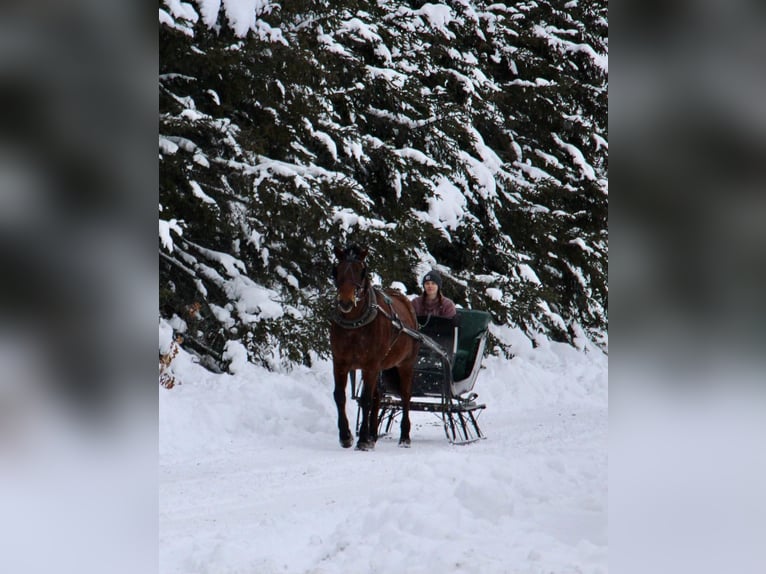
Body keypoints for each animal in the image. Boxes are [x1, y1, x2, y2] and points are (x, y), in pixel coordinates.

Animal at [328, 245, 420, 452]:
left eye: (361, 271)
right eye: (337, 270)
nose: (345, 302)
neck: (355, 324)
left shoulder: (370, 365)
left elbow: (366, 399)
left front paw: (362, 440)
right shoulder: (340, 363)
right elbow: (340, 396)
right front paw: (346, 436)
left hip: (405, 364)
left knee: (405, 396)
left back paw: (404, 436)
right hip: (380, 367)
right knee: (378, 396)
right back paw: (373, 435)